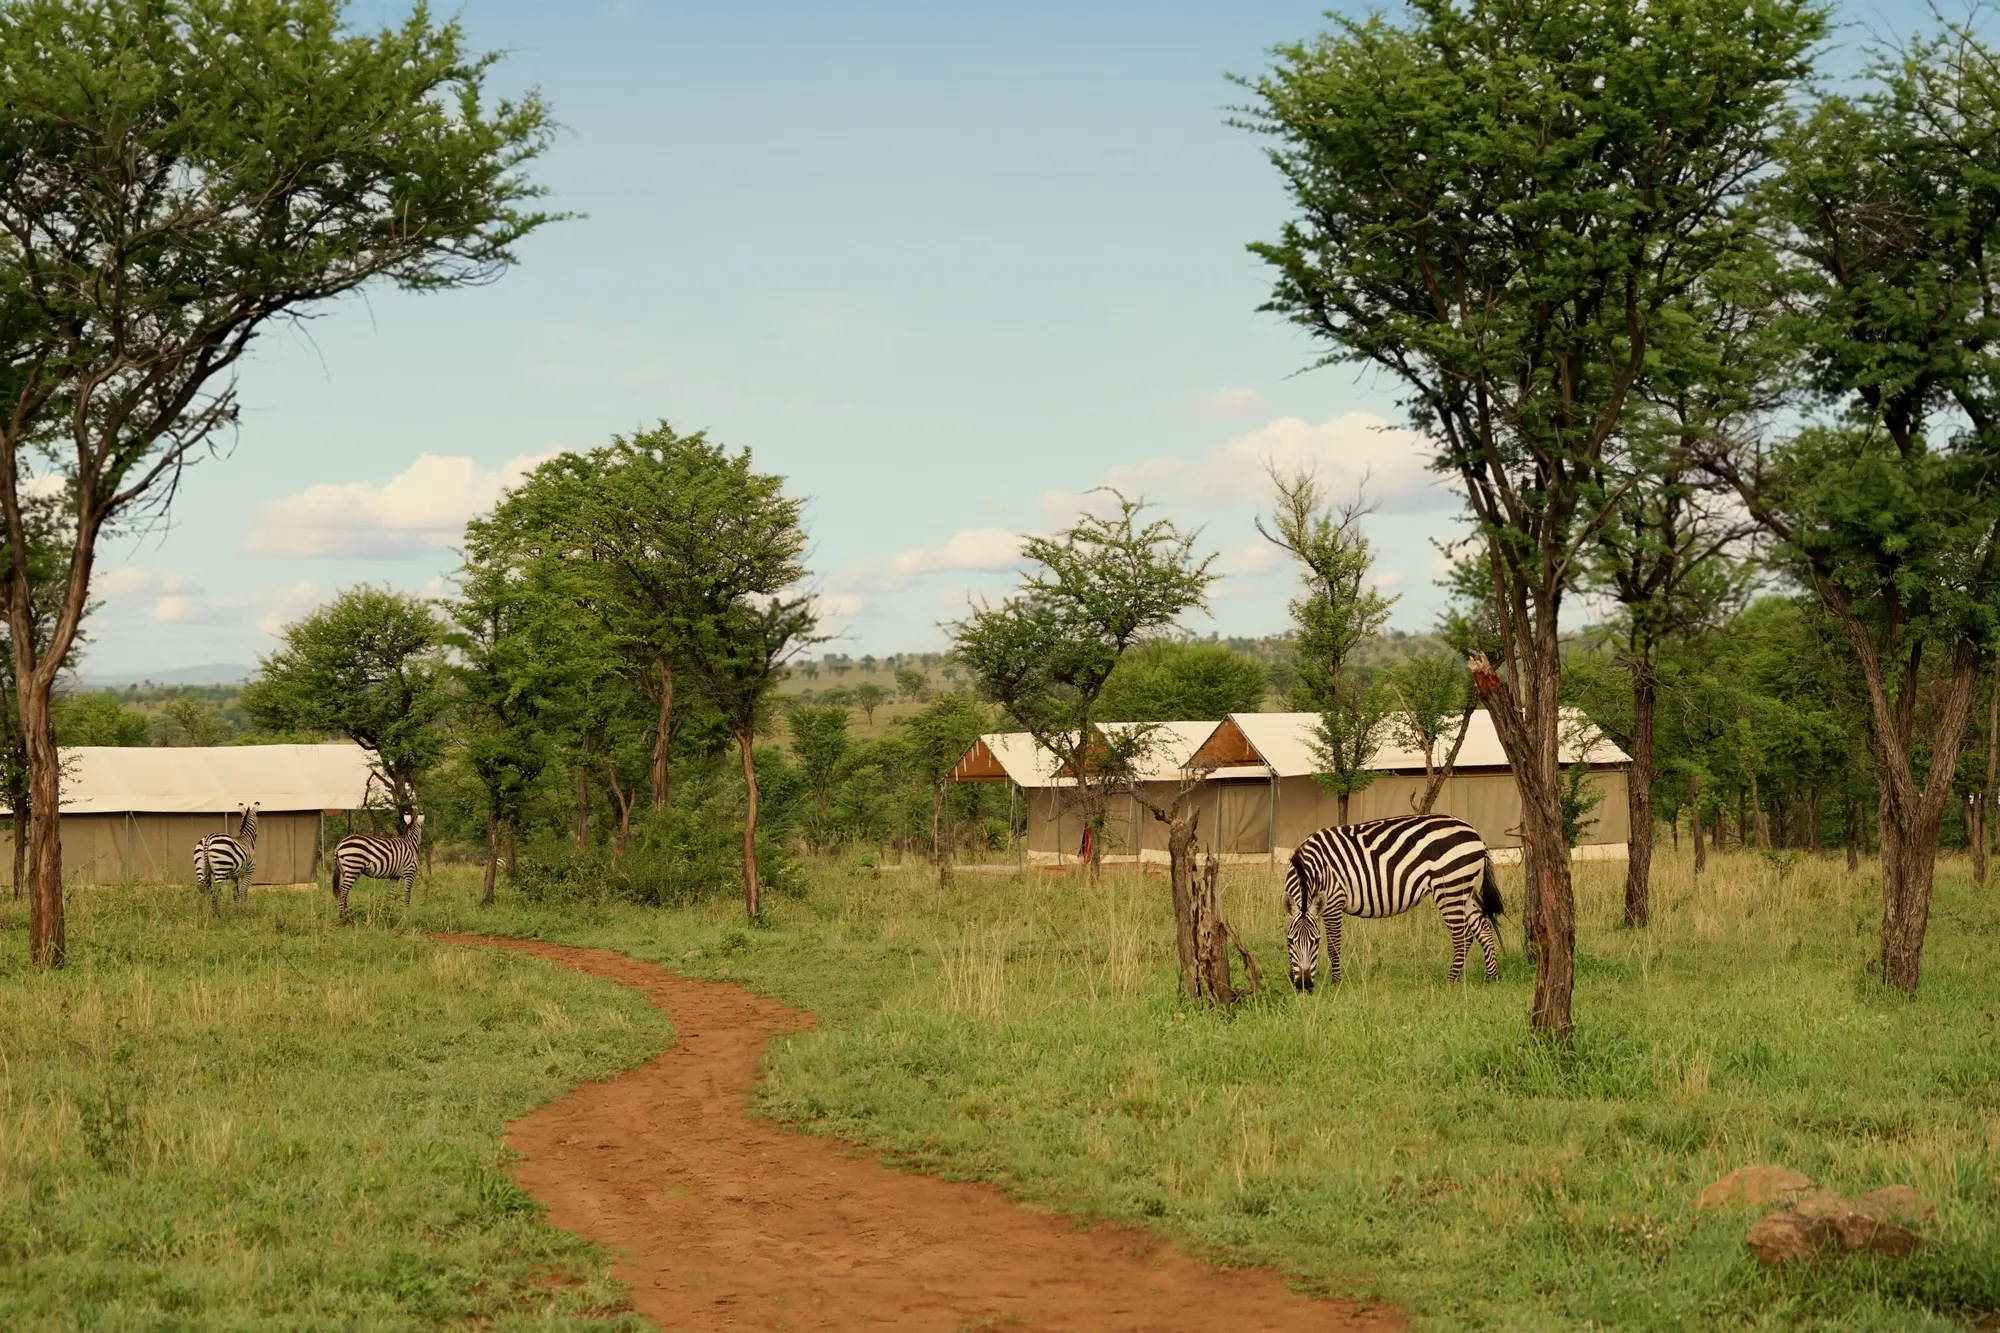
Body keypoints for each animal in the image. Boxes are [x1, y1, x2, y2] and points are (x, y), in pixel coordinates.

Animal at [1285, 814, 1505, 991]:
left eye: (1316, 941)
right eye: (1289, 941)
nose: (1303, 985)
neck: (1311, 869)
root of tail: (1475, 834)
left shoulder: (1334, 901)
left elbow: (1333, 947)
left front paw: (1336, 984)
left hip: (1449, 886)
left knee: (1461, 935)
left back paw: (1450, 981)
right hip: (1462, 890)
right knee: (1482, 929)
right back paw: (1491, 978)